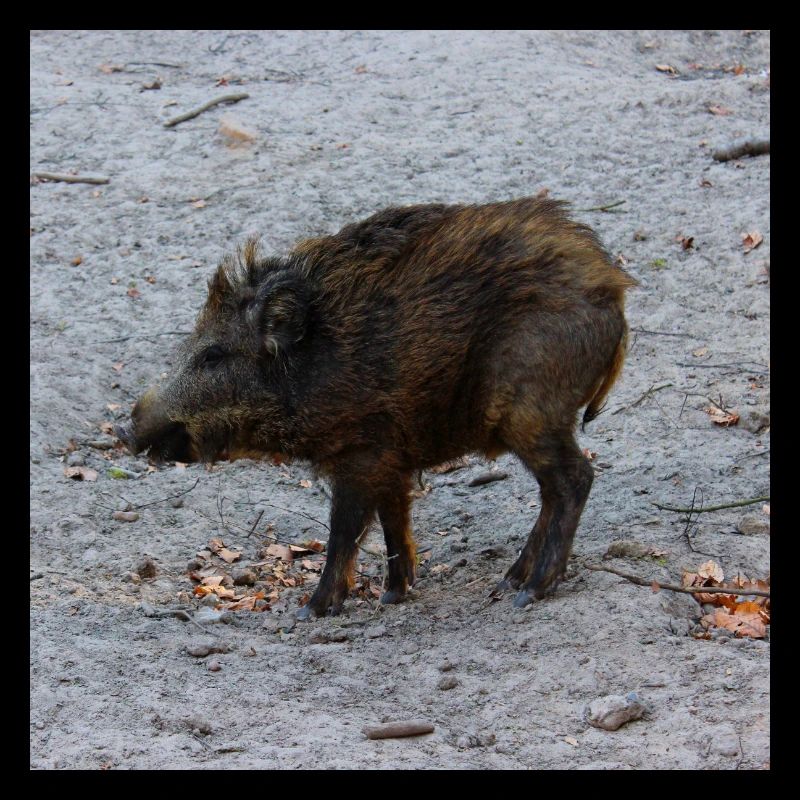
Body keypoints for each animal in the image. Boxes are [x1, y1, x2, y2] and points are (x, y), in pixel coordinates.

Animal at [116, 198, 636, 617]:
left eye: (213, 355)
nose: (126, 430)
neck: (310, 366)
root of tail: (614, 294)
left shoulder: (362, 453)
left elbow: (344, 530)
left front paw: (312, 610)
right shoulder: (392, 459)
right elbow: (393, 521)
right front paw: (394, 594)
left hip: (531, 412)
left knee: (574, 480)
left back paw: (531, 592)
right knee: (552, 490)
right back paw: (509, 581)